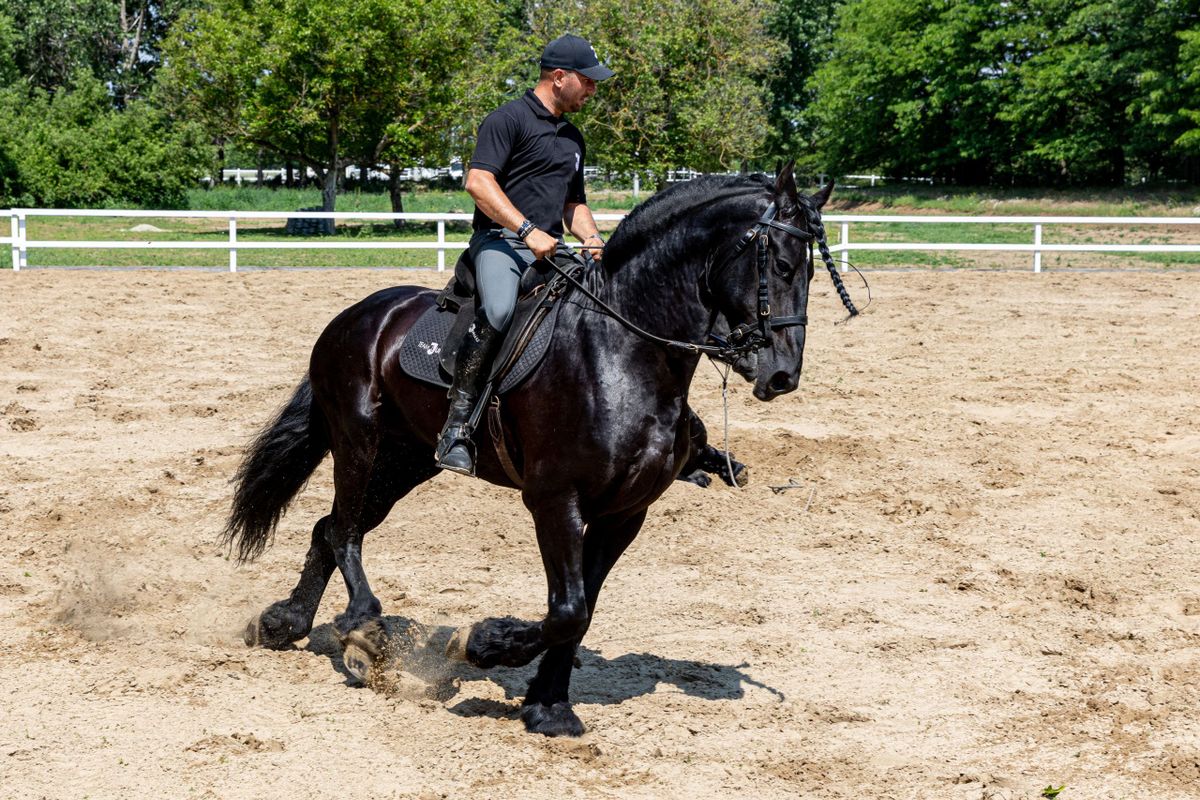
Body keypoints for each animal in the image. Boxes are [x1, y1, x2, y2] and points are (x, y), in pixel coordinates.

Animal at [223, 164, 844, 738]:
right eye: (782, 266)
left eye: (812, 270)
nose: (782, 374)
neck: (623, 349)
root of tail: (357, 315)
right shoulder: (555, 500)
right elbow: (566, 609)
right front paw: (483, 642)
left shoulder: (625, 513)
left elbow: (581, 611)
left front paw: (547, 706)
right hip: (359, 442)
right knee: (346, 530)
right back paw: (364, 631)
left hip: (407, 461)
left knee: (328, 527)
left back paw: (286, 623)